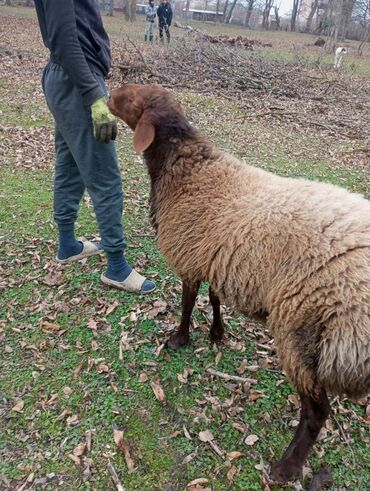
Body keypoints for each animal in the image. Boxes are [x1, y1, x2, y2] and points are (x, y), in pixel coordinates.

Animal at [108, 83, 370, 484]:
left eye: (134, 98)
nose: (107, 94)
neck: (188, 169)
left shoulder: (189, 256)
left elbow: (188, 303)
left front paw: (179, 339)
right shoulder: (217, 257)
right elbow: (215, 299)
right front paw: (217, 333)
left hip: (302, 331)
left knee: (315, 412)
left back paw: (286, 467)